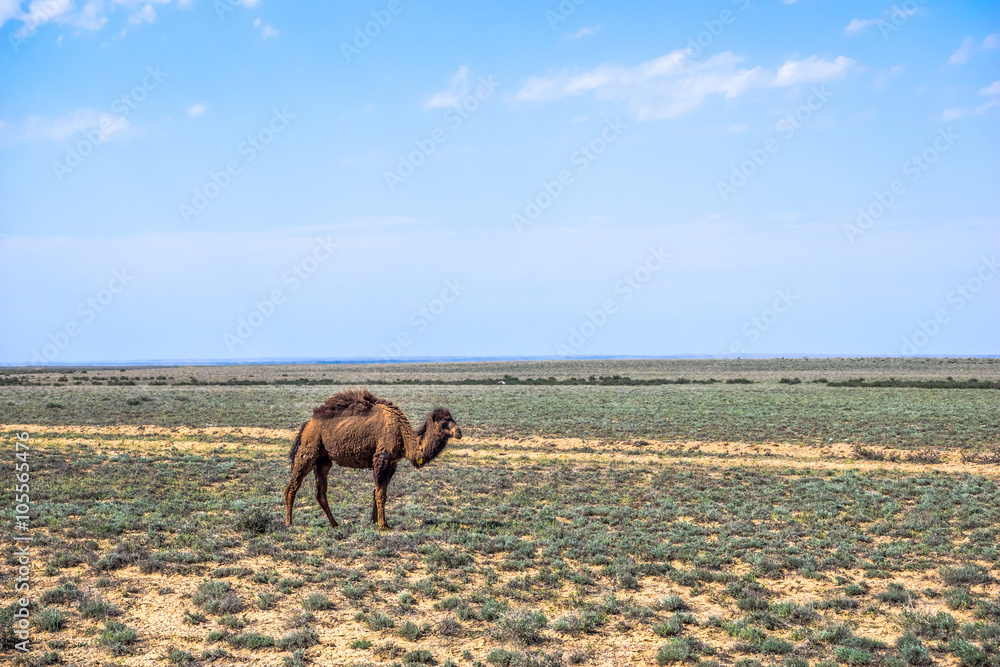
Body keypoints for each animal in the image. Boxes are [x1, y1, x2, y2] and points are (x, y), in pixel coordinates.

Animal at [284, 388, 462, 528]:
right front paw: (383, 526)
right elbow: (380, 494)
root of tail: (307, 424)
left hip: (323, 460)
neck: (402, 435)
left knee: (320, 493)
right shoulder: (381, 459)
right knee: (292, 486)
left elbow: (379, 491)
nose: (459, 432)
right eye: (444, 422)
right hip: (309, 450)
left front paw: (374, 521)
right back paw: (289, 523)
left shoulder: (392, 463)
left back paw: (335, 524)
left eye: (452, 418)